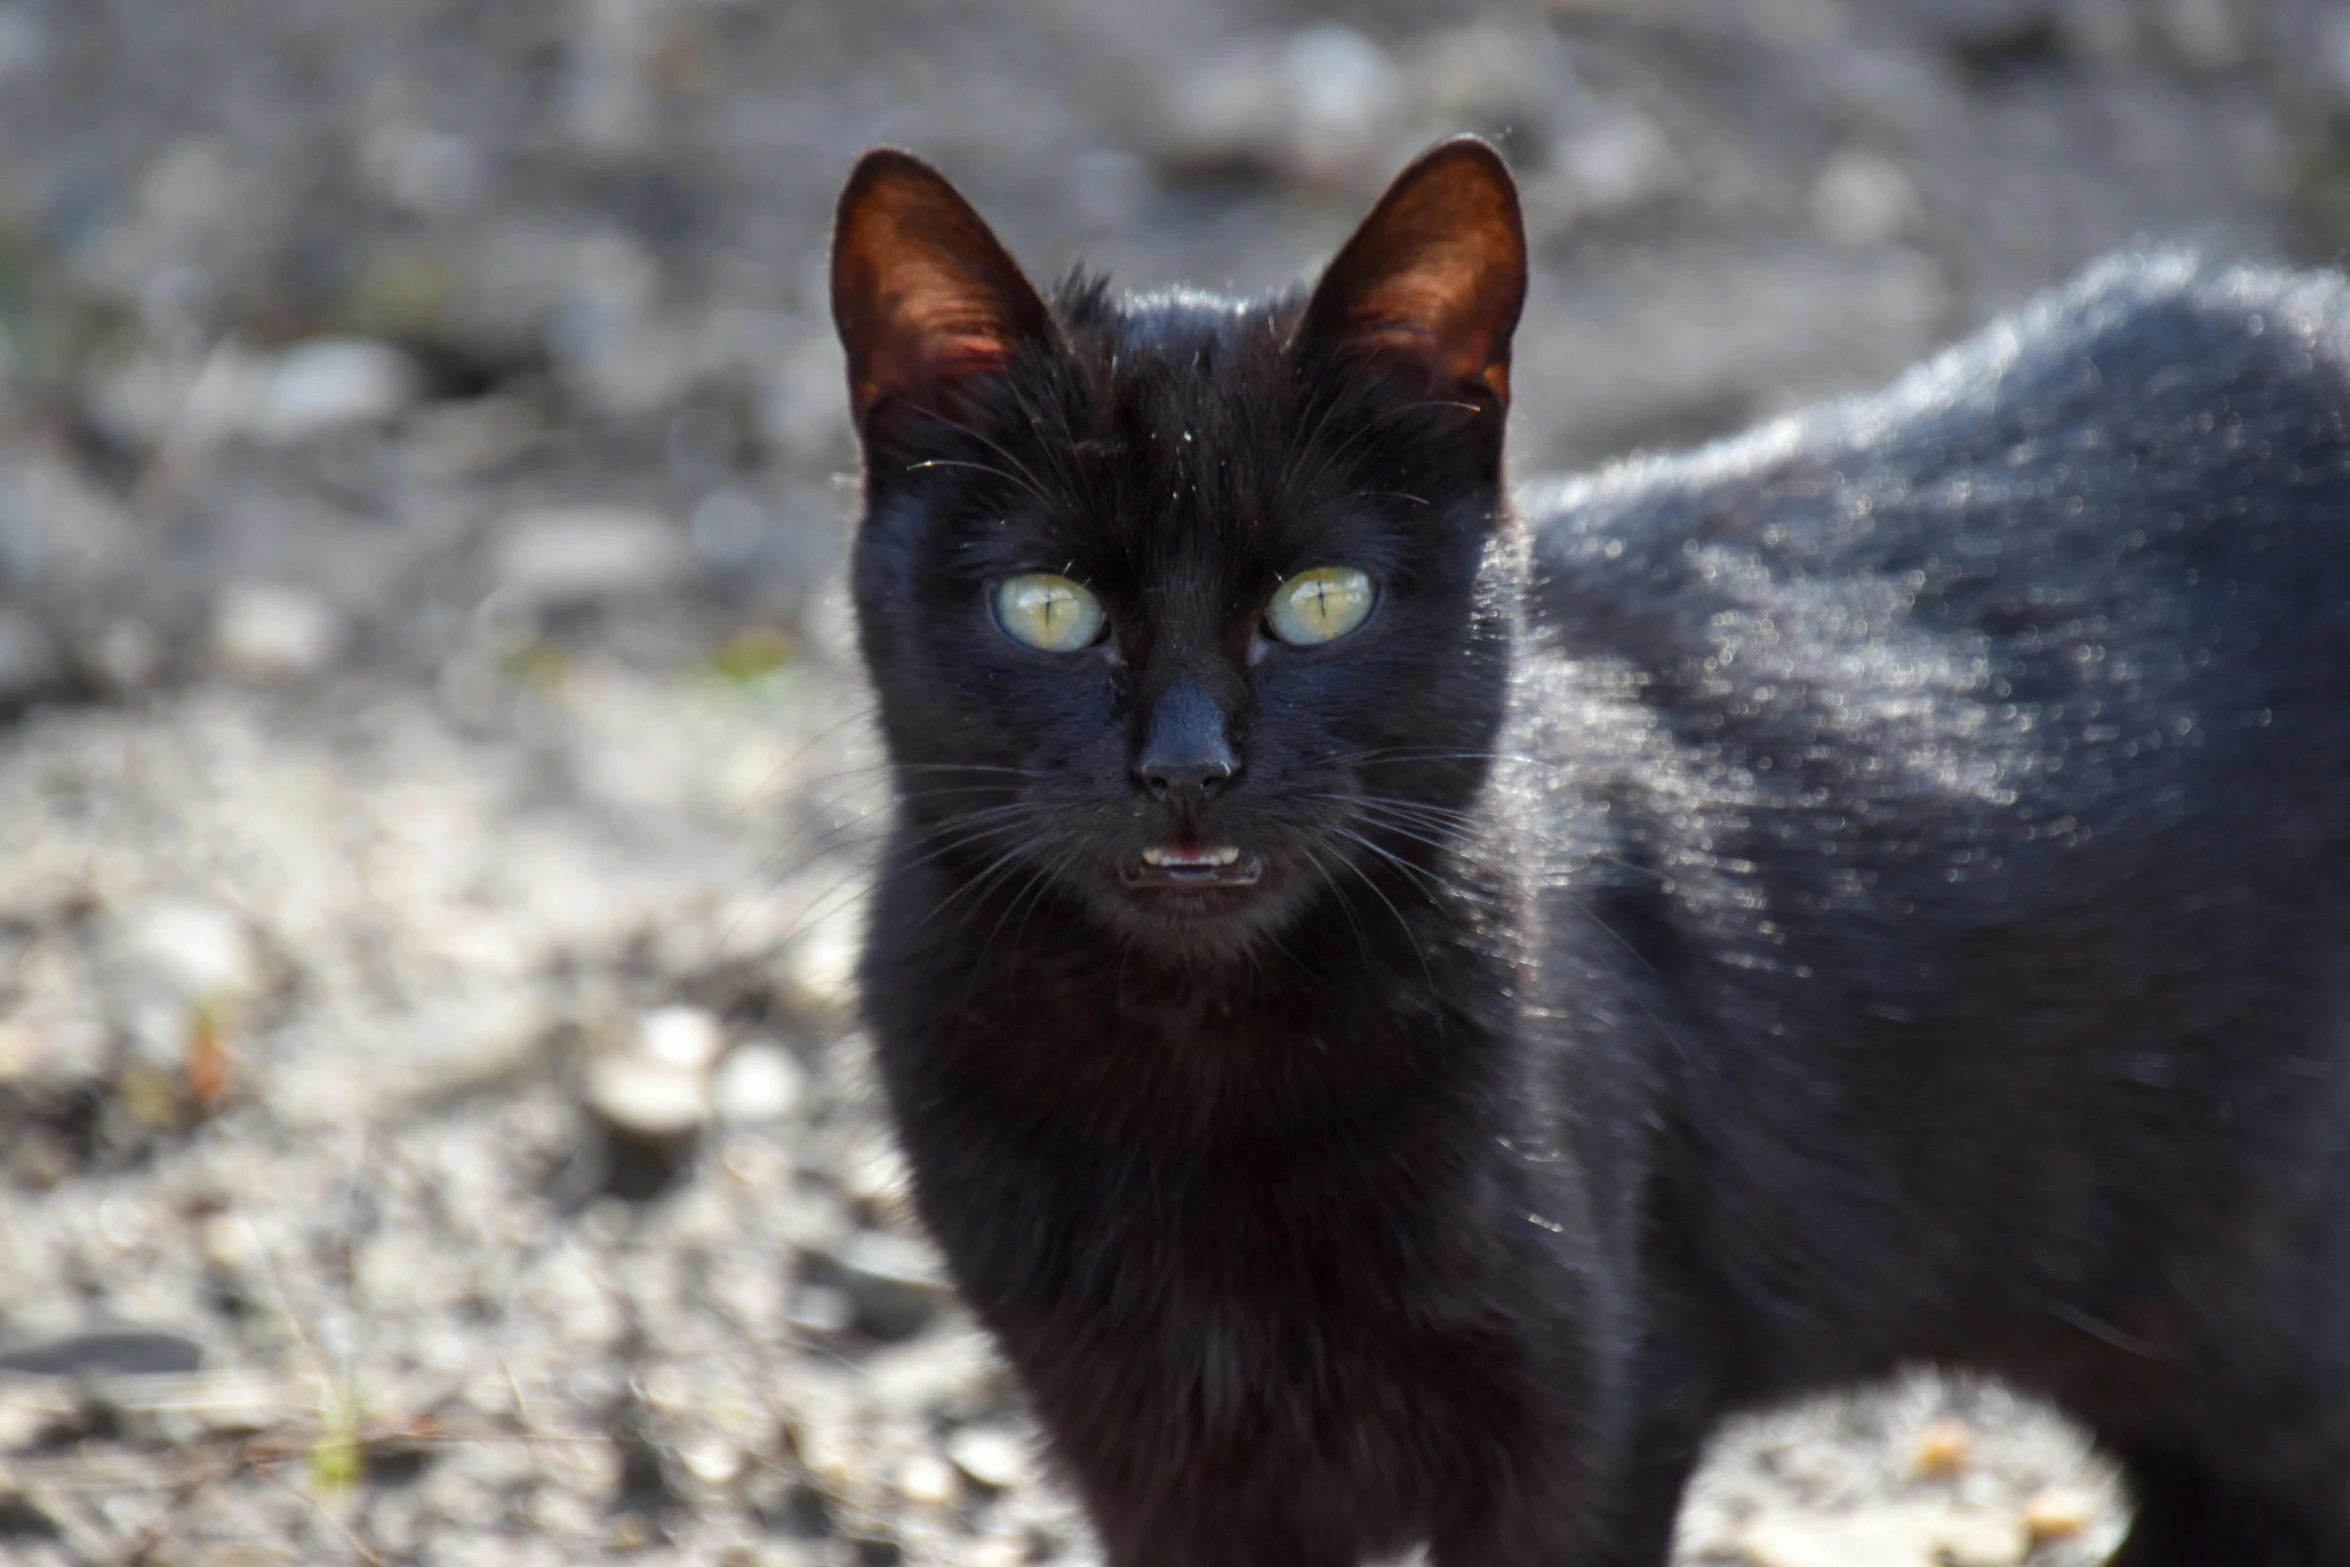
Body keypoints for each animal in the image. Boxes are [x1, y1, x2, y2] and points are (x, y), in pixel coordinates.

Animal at [822, 138, 2350, 1567]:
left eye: (1322, 602)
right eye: (1048, 607)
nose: (1188, 766)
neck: (1195, 1085)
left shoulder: (1597, 1401)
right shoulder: (1156, 1457)